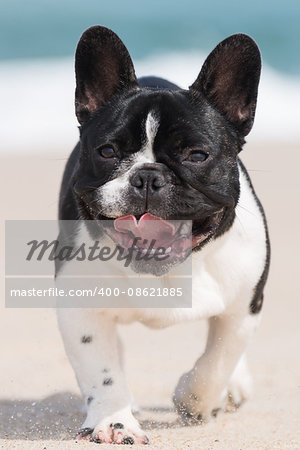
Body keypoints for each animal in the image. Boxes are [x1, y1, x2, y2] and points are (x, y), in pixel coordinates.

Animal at [56, 26, 270, 444]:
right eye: (107, 151)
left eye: (197, 156)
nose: (147, 176)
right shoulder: (80, 308)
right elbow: (100, 368)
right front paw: (114, 421)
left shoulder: (244, 303)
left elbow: (220, 356)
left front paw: (196, 401)